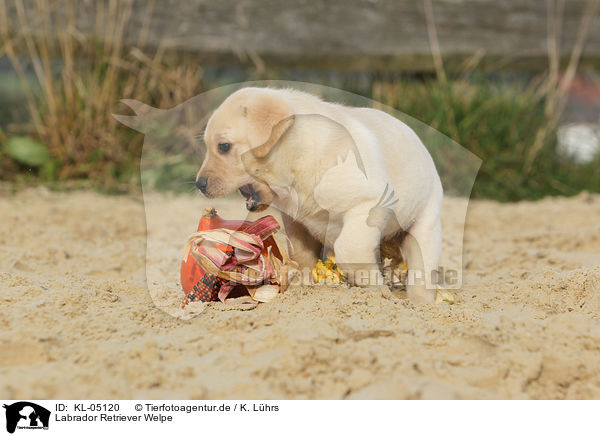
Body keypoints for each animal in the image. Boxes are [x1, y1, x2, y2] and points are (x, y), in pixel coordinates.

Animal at [195, 86, 442, 304]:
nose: (199, 184)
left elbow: (349, 250)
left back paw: (420, 303)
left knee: (422, 271)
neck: (299, 157)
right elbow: (301, 255)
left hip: (424, 225)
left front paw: (376, 289)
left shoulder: (369, 204)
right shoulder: (295, 220)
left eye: (224, 147)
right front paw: (302, 287)